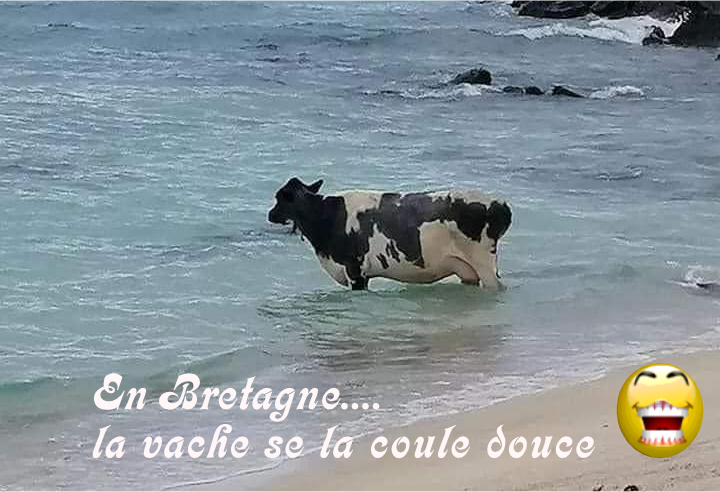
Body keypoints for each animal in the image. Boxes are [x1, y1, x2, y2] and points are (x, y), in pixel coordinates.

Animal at [268, 177, 512, 291]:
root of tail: (500, 202)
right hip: (468, 269)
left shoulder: (355, 270)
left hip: (484, 263)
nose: (270, 214)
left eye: (279, 197)